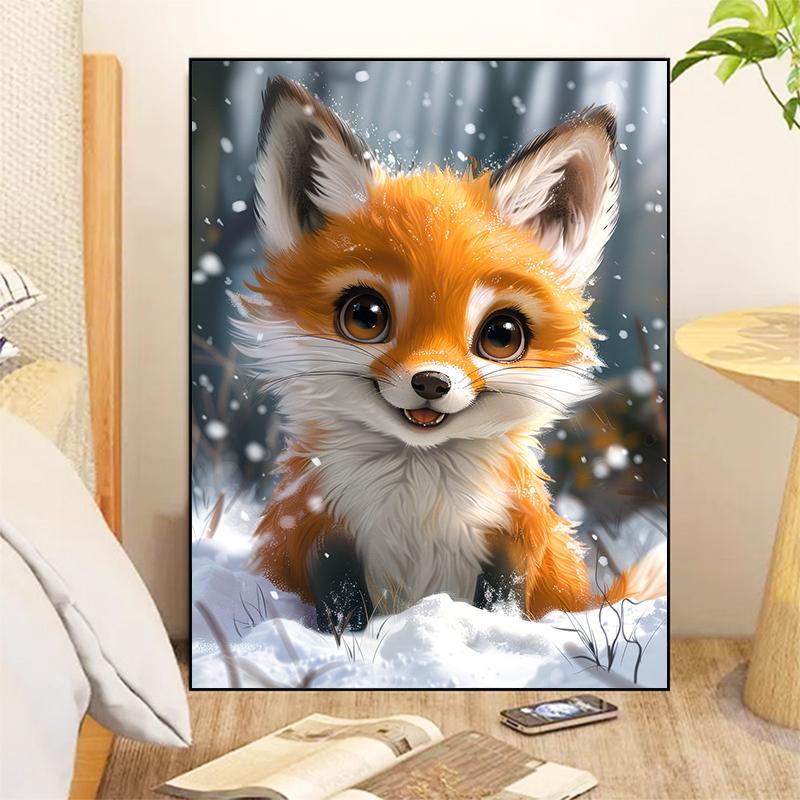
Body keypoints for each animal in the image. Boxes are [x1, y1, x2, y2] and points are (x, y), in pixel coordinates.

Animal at [236, 76, 666, 631]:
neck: (418, 500)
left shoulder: (516, 538)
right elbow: (342, 606)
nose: (431, 382)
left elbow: (502, 603)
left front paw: (494, 633)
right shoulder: (317, 528)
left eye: (501, 335)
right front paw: (348, 640)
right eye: (365, 317)